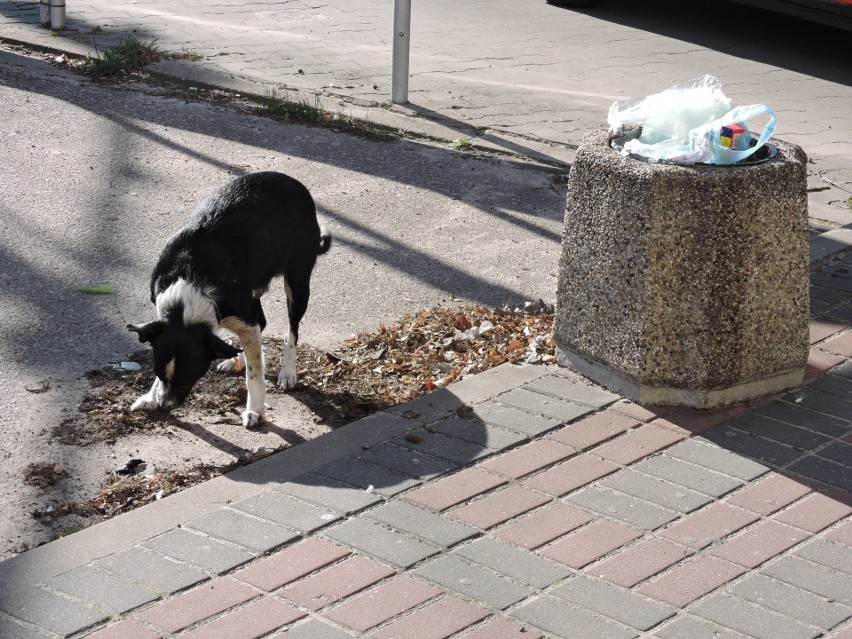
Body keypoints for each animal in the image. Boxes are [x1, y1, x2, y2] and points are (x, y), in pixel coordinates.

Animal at [128, 172, 332, 428]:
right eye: (158, 374)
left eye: (186, 381)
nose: (164, 407)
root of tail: (292, 182)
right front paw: (149, 397)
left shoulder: (241, 313)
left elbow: (255, 375)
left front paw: (255, 410)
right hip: (253, 293)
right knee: (261, 324)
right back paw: (239, 357)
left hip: (297, 283)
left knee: (291, 330)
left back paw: (287, 372)